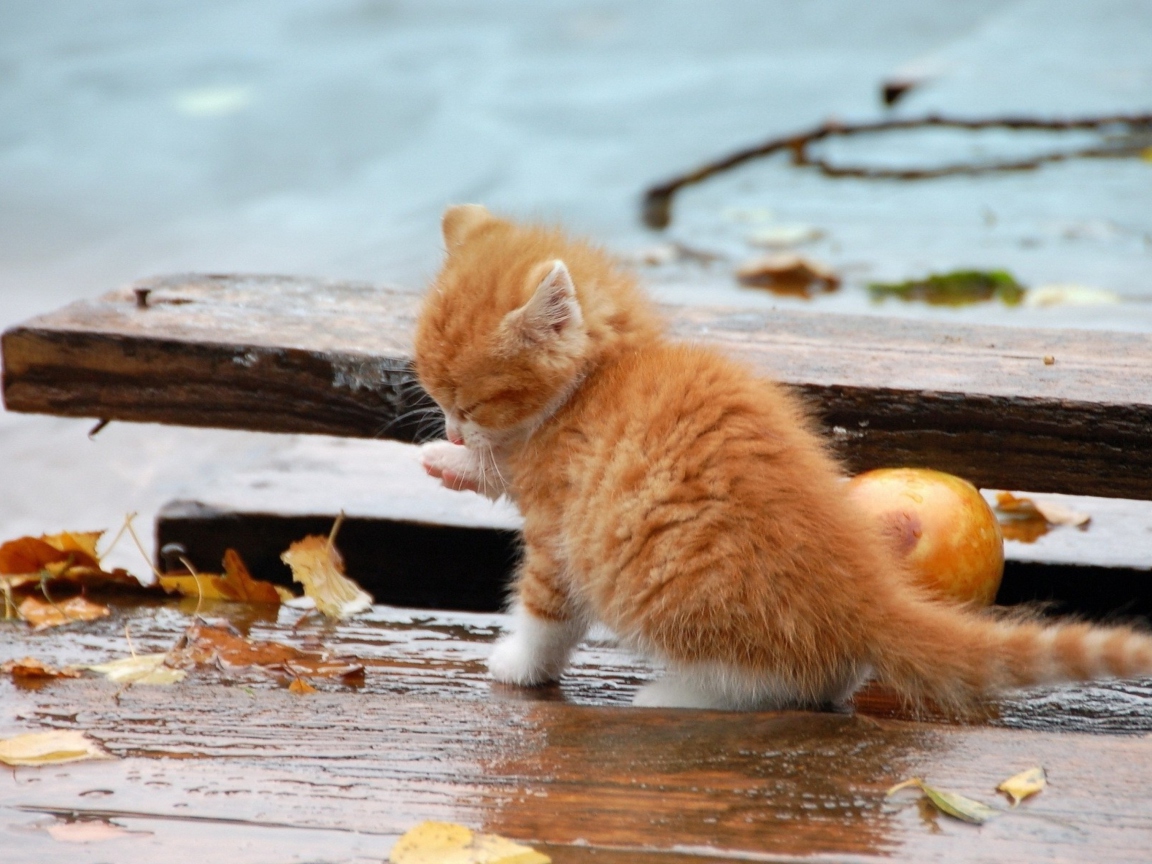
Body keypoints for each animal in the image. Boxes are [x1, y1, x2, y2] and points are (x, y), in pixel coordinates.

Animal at [419, 206, 1152, 714]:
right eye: (438, 396)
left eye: (470, 402)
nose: (451, 429)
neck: (601, 378)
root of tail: (867, 595)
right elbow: (499, 471)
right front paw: (448, 462)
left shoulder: (564, 525)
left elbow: (548, 609)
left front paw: (520, 664)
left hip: (675, 586)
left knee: (782, 680)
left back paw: (679, 695)